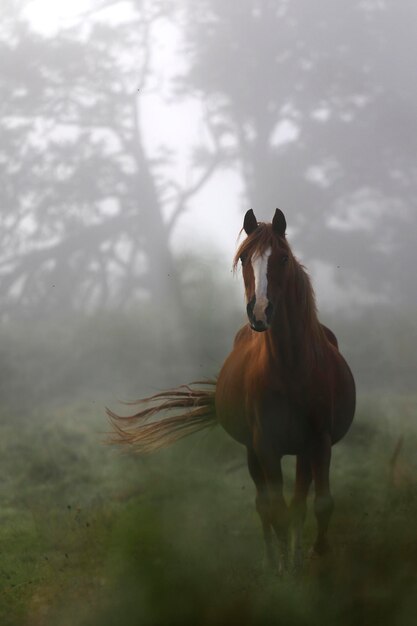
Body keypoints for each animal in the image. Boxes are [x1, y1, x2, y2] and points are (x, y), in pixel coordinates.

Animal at [108, 208, 354, 572]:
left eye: (283, 258)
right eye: (244, 259)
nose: (260, 311)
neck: (291, 368)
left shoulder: (319, 440)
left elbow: (320, 503)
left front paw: (315, 554)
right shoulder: (265, 446)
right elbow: (275, 508)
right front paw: (283, 570)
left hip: (302, 451)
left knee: (299, 499)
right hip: (254, 451)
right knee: (264, 504)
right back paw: (274, 558)